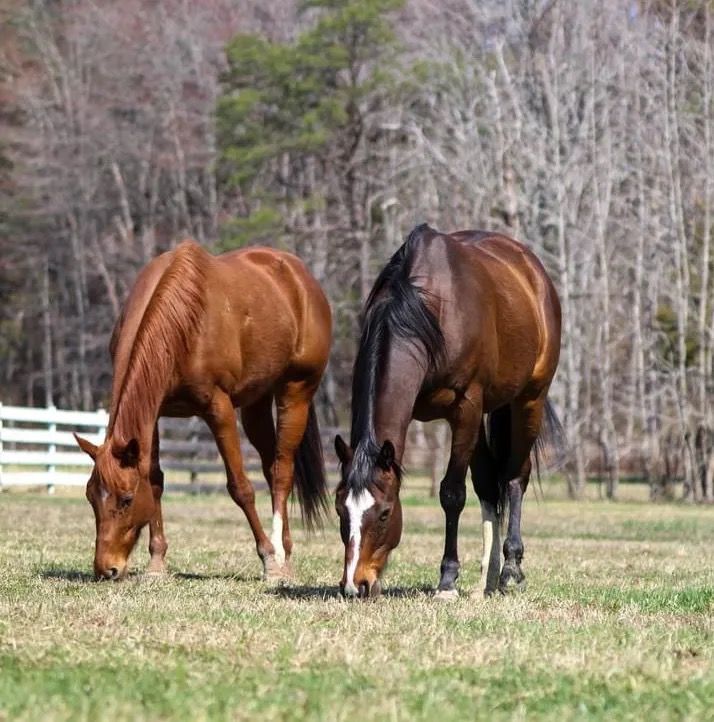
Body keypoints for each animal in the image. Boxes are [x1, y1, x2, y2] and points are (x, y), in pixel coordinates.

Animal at [75, 240, 332, 581]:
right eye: (91, 497)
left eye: (126, 499)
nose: (106, 569)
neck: (183, 322)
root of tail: (300, 276)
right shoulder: (153, 414)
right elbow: (154, 480)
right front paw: (157, 562)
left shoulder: (218, 409)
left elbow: (240, 487)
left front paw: (267, 559)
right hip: (256, 404)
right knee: (270, 465)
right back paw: (285, 556)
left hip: (296, 392)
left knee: (281, 473)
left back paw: (280, 556)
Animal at [334, 223, 562, 599]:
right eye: (340, 509)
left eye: (384, 513)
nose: (356, 584)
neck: (424, 313)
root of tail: (533, 271)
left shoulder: (465, 408)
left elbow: (452, 494)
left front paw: (447, 580)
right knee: (489, 484)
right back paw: (489, 576)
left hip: (530, 399)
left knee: (515, 477)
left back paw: (510, 569)